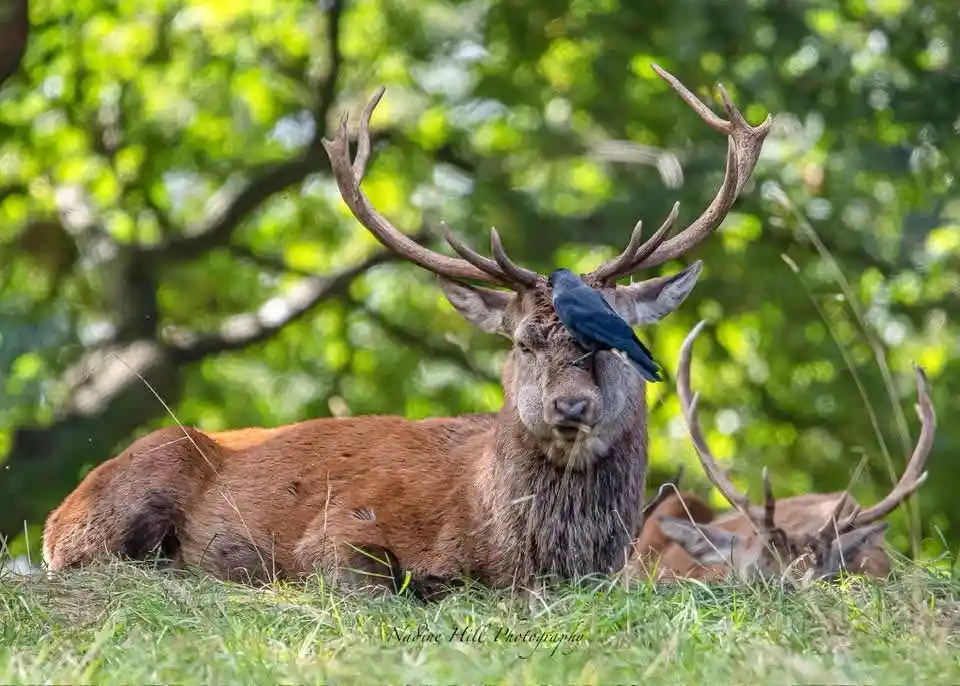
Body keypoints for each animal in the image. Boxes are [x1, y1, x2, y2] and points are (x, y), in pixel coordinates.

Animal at [41, 66, 773, 597]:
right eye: (522, 341)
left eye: (613, 342)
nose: (570, 406)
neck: (506, 544)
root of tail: (57, 510)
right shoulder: (341, 527)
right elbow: (370, 574)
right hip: (130, 487)